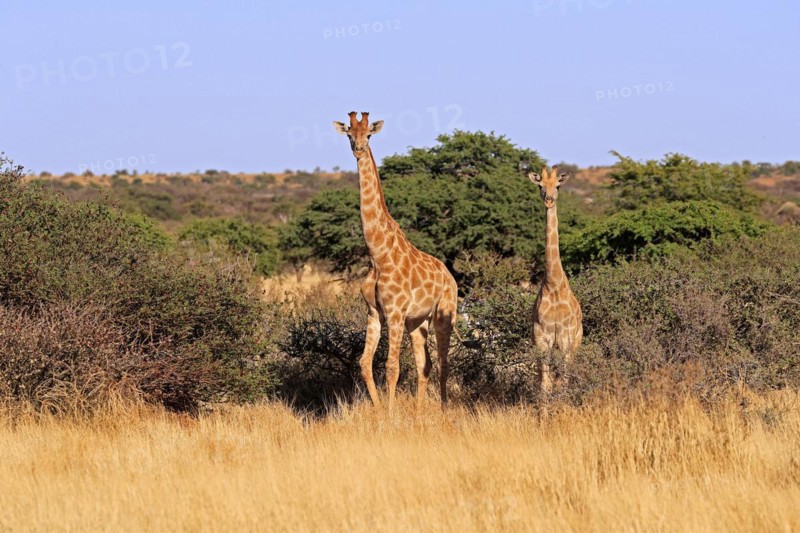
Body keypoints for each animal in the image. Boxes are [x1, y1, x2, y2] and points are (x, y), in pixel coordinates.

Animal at [333, 111, 459, 411]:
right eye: (349, 133)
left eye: (368, 134)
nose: (358, 149)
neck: (377, 255)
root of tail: (451, 277)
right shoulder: (374, 312)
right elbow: (365, 363)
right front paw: (379, 411)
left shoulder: (395, 313)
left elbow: (392, 367)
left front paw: (391, 414)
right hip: (418, 322)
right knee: (425, 365)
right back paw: (420, 411)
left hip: (443, 315)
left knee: (443, 364)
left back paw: (443, 408)